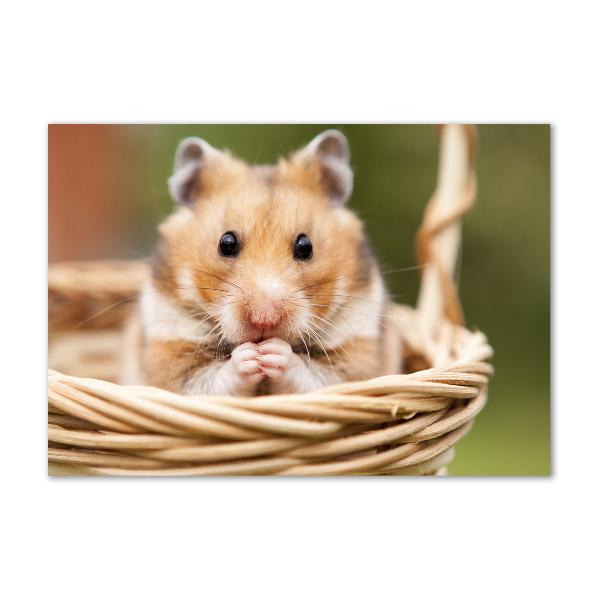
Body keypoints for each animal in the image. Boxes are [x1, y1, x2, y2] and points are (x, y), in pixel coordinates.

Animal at [130, 129, 404, 396]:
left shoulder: (356, 354)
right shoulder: (170, 352)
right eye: (226, 244)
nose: (264, 320)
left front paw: (272, 353)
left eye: (306, 247)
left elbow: (313, 377)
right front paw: (252, 356)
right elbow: (211, 381)